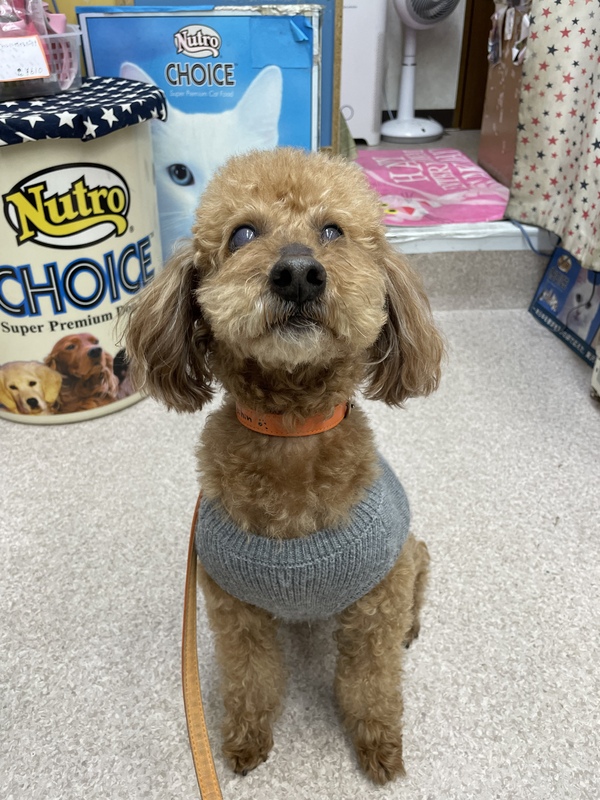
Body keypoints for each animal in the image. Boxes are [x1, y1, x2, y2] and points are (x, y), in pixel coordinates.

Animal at [125, 148, 444, 784]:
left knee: (416, 589)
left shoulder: (375, 605)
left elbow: (372, 684)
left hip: (409, 553)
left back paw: (412, 628)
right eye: (243, 234)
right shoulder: (234, 608)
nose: (298, 272)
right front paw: (246, 742)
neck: (292, 432)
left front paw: (379, 748)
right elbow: (250, 679)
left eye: (333, 231)